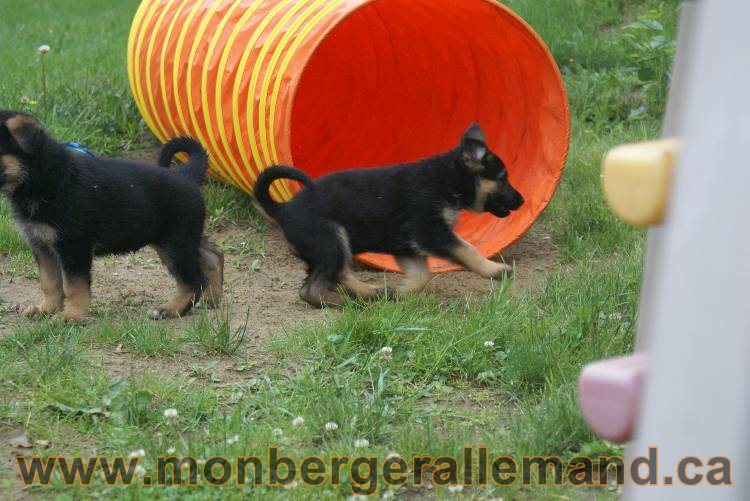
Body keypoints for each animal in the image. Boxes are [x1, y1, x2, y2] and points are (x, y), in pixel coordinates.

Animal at [0, 110, 223, 320]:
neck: (40, 175)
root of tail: (187, 175)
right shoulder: (42, 244)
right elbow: (49, 283)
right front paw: (46, 310)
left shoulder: (73, 246)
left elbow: (73, 286)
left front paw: (72, 316)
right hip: (183, 237)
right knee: (213, 255)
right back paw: (212, 299)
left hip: (175, 243)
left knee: (193, 280)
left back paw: (170, 309)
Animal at [256, 123, 524, 306]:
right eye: (503, 178)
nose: (522, 201)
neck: (447, 179)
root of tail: (283, 209)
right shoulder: (430, 231)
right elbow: (467, 249)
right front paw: (495, 270)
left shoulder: (408, 246)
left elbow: (421, 276)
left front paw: (402, 292)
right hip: (332, 239)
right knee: (317, 287)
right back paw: (349, 302)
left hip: (325, 250)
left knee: (320, 283)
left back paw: (369, 293)